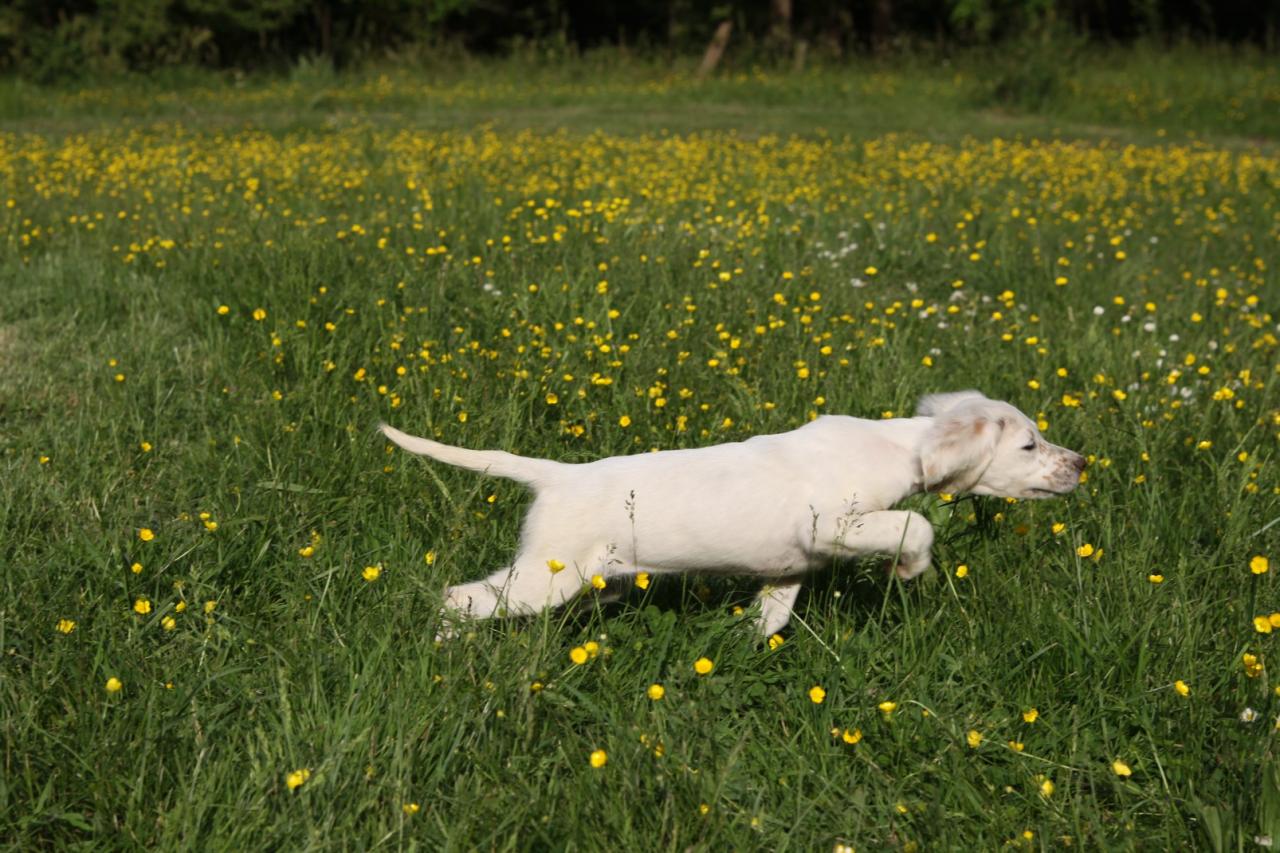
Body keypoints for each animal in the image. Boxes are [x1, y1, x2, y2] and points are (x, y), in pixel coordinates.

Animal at [378, 389, 1080, 635]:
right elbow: (917, 522)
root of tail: (559, 475)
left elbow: (771, 618)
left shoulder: (792, 565)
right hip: (545, 577)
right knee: (458, 599)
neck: (894, 444)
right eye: (1029, 445)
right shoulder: (833, 524)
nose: (1081, 463)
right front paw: (908, 569)